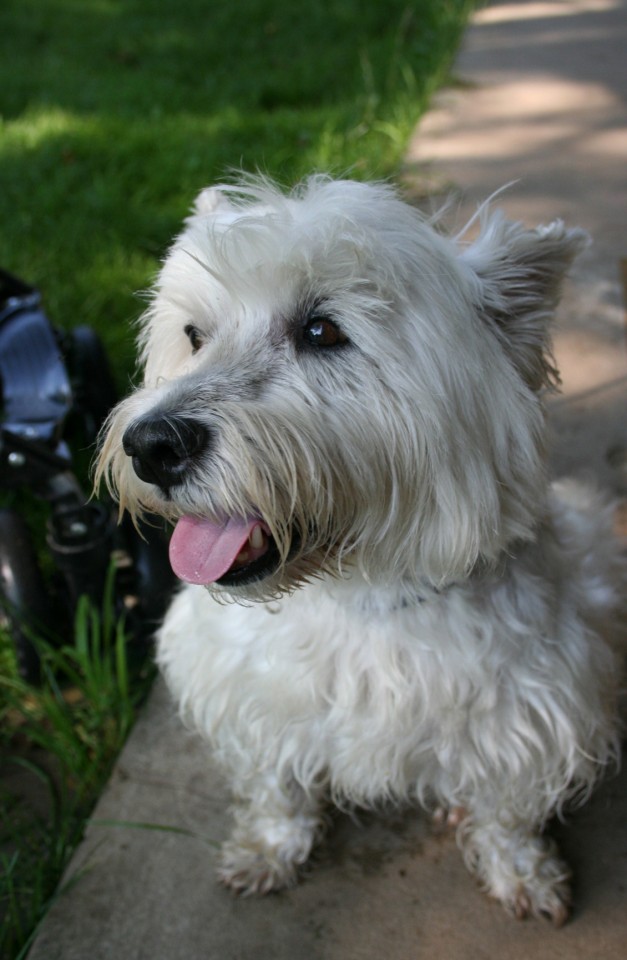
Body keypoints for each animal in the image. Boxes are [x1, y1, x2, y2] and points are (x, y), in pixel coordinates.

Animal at [96, 175, 623, 924]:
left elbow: (508, 811)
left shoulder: (533, 710)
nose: (151, 445)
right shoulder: (251, 698)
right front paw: (267, 851)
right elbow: (276, 786)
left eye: (322, 330)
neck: (358, 591)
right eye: (194, 334)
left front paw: (524, 873)